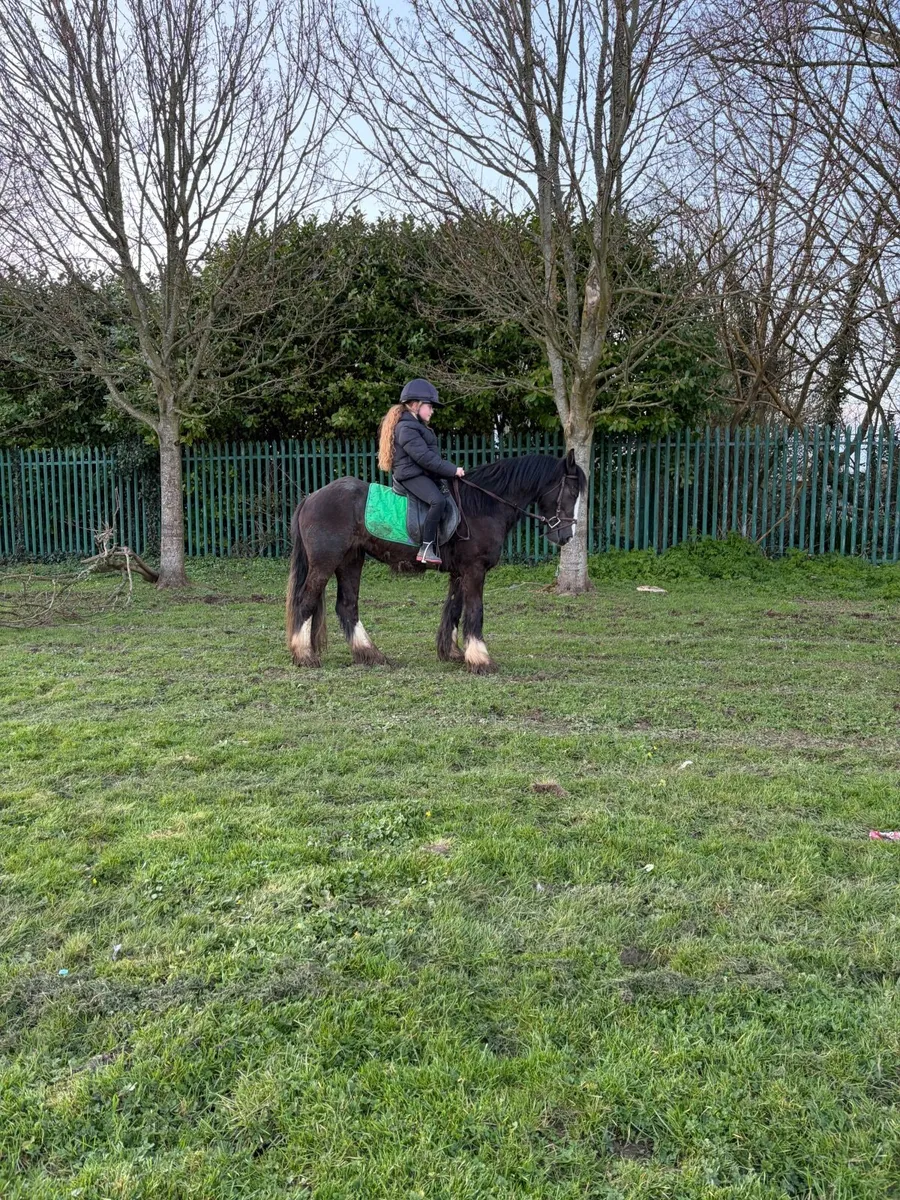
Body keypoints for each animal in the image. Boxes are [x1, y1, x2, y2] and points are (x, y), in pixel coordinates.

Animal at [284, 450, 586, 674]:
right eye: (571, 492)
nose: (566, 536)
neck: (483, 505)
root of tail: (311, 497)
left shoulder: (460, 573)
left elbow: (454, 610)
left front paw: (453, 653)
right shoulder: (475, 570)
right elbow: (475, 611)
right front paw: (481, 659)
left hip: (350, 561)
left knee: (347, 606)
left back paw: (370, 654)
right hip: (325, 563)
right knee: (306, 601)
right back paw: (304, 655)